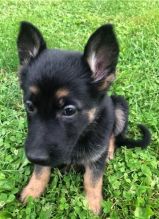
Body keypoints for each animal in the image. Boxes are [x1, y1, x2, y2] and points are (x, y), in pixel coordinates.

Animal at [16, 21, 151, 214]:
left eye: (69, 110)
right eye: (30, 106)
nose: (34, 157)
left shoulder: (95, 159)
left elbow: (92, 180)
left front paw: (92, 205)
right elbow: (40, 172)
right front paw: (32, 191)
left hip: (119, 106)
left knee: (113, 135)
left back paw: (109, 150)